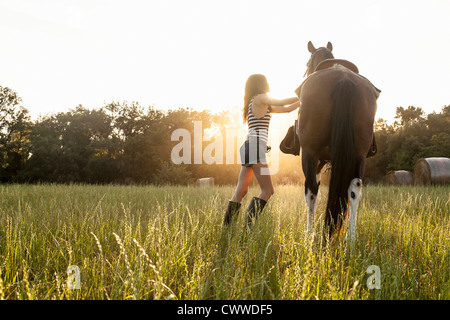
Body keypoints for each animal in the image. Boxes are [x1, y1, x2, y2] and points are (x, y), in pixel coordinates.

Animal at [298, 42, 382, 242]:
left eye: (307, 63)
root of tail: (344, 80)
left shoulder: (317, 158)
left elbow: (314, 189)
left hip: (310, 152)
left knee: (310, 190)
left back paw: (310, 235)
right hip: (359, 154)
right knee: (355, 189)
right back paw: (351, 238)